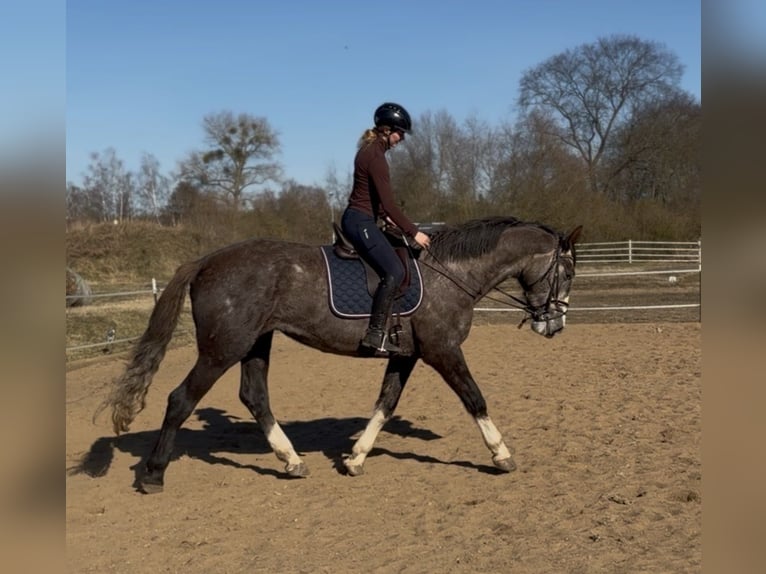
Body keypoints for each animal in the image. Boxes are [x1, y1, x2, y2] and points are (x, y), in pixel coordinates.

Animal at [97, 216, 582, 493]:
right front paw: (501, 455)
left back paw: (292, 461)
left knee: (255, 398)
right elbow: (475, 398)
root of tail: (206, 261)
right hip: (222, 348)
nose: (553, 325)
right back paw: (153, 475)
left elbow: (385, 404)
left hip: (255, 343)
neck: (451, 273)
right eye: (568, 271)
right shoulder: (443, 350)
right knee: (181, 399)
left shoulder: (405, 355)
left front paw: (354, 459)